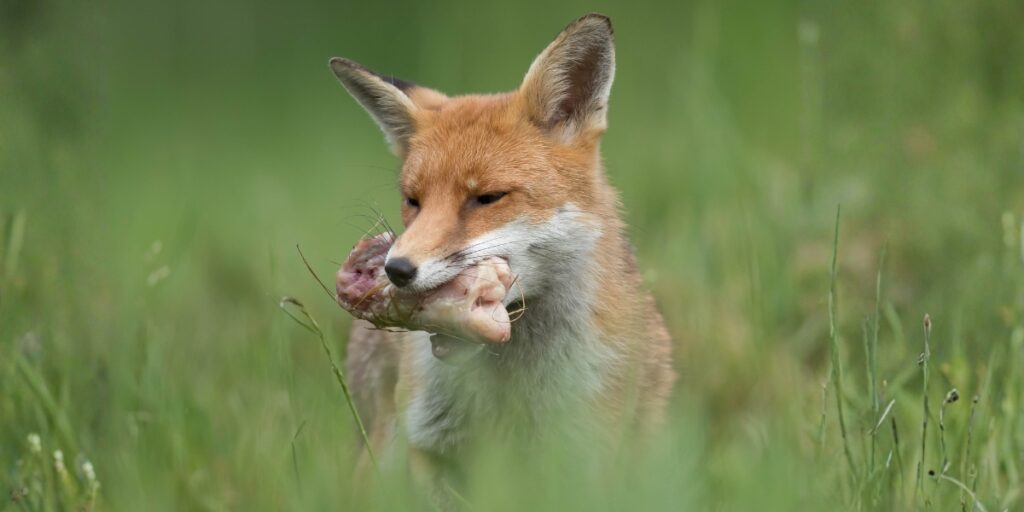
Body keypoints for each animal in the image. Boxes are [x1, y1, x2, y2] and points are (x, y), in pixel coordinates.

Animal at [330, 12, 675, 502]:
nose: (396, 270)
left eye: (488, 198)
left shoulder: (583, 454)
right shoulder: (430, 447)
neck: (511, 391)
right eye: (413, 201)